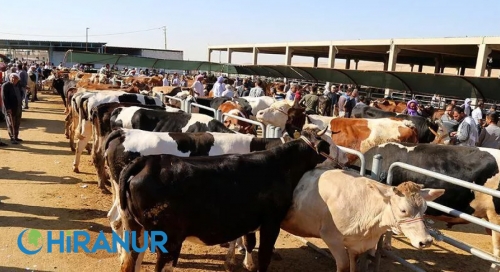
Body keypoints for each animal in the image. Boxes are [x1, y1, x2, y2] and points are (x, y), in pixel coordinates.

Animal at [117, 136, 336, 272]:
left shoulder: (250, 220)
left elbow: (249, 242)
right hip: (169, 240)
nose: (340, 162)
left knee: (129, 263)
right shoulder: (271, 222)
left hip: (134, 229)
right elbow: (264, 255)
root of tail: (148, 162)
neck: (280, 165)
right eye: (330, 145)